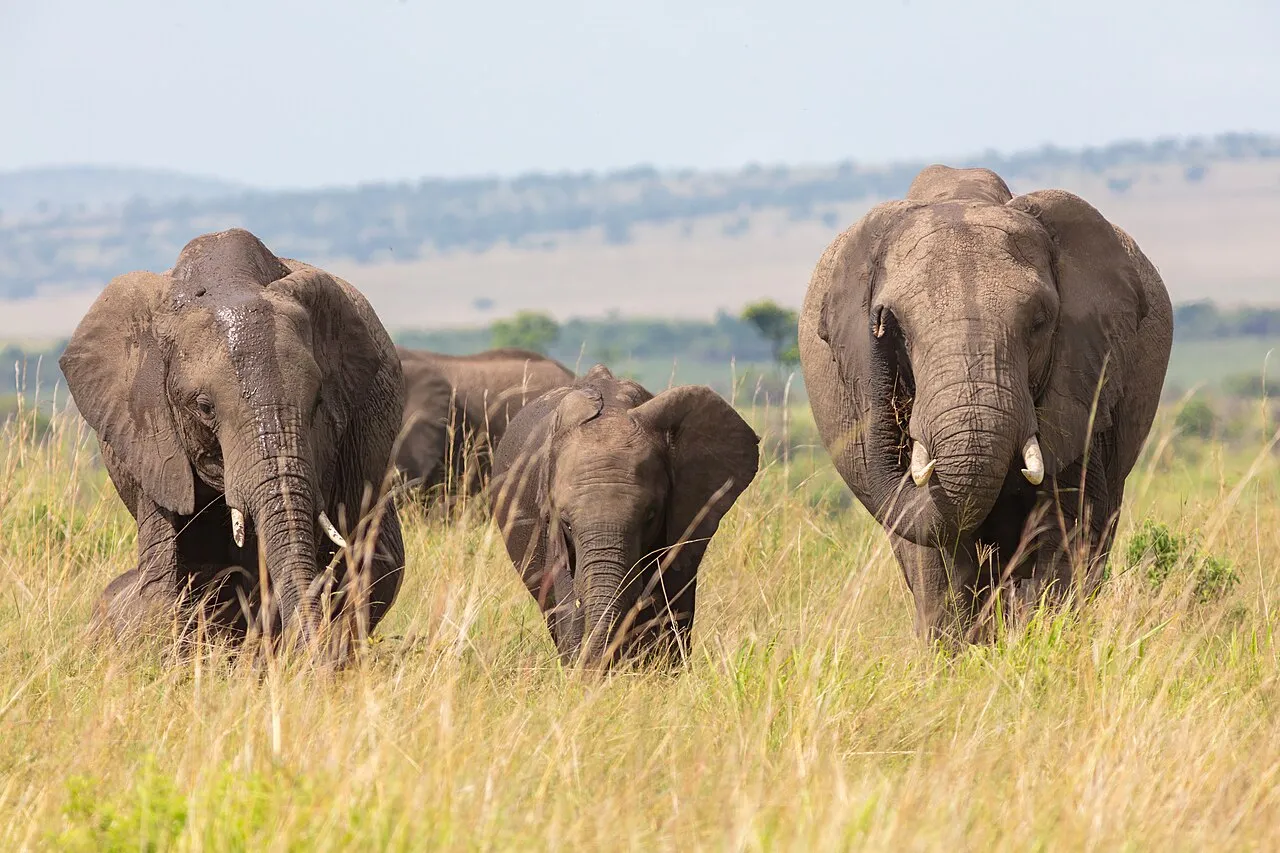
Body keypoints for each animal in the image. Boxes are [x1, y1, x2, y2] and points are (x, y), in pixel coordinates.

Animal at [798, 164, 1173, 644]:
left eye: (1039, 322)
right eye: (893, 326)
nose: (877, 326)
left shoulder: (1086, 375)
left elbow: (1066, 522)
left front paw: (1037, 640)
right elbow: (936, 549)